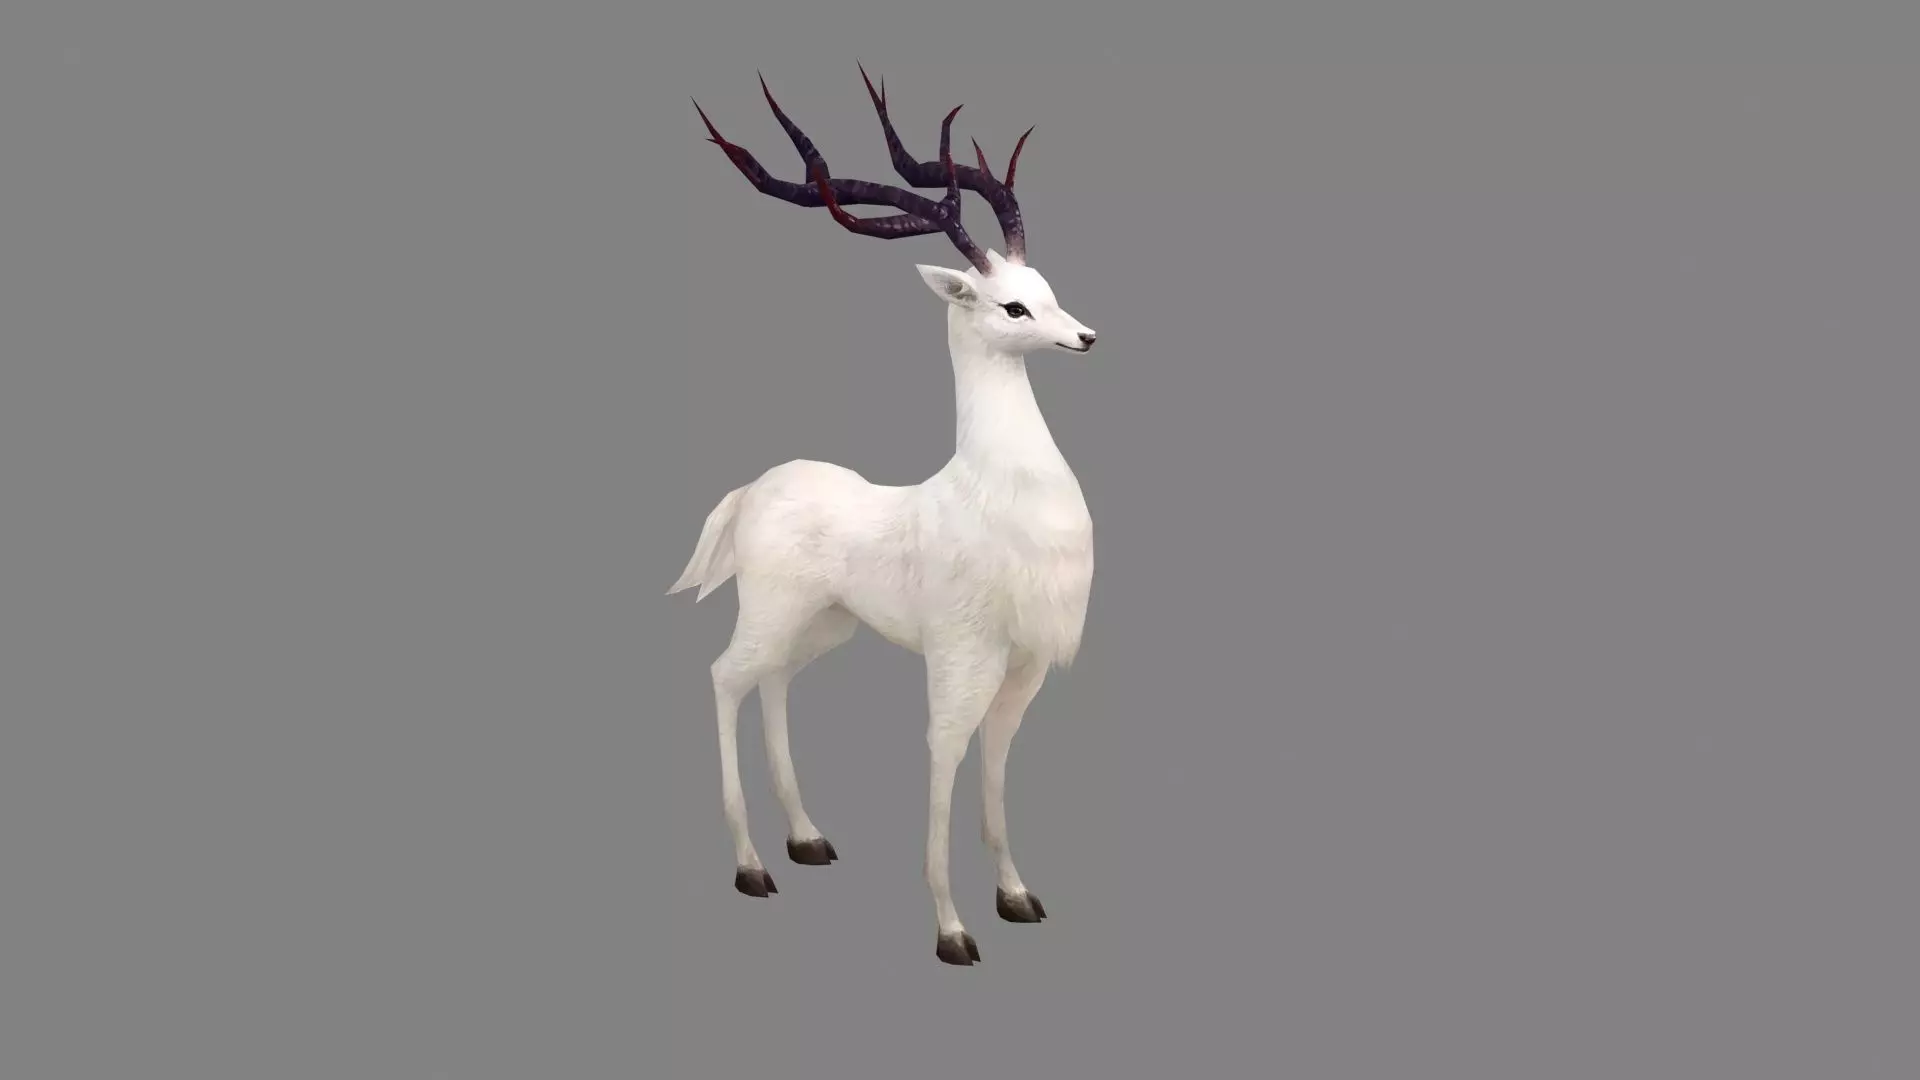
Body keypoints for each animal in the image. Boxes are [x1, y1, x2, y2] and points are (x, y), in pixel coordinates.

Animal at [672, 67, 1099, 967]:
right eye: (1011, 308)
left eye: (1046, 291)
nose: (1085, 336)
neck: (995, 492)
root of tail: (752, 488)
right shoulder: (960, 659)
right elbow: (944, 758)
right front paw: (951, 930)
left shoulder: (1024, 666)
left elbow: (996, 768)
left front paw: (1016, 895)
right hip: (769, 612)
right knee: (726, 676)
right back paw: (754, 867)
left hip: (825, 624)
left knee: (775, 683)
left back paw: (807, 838)